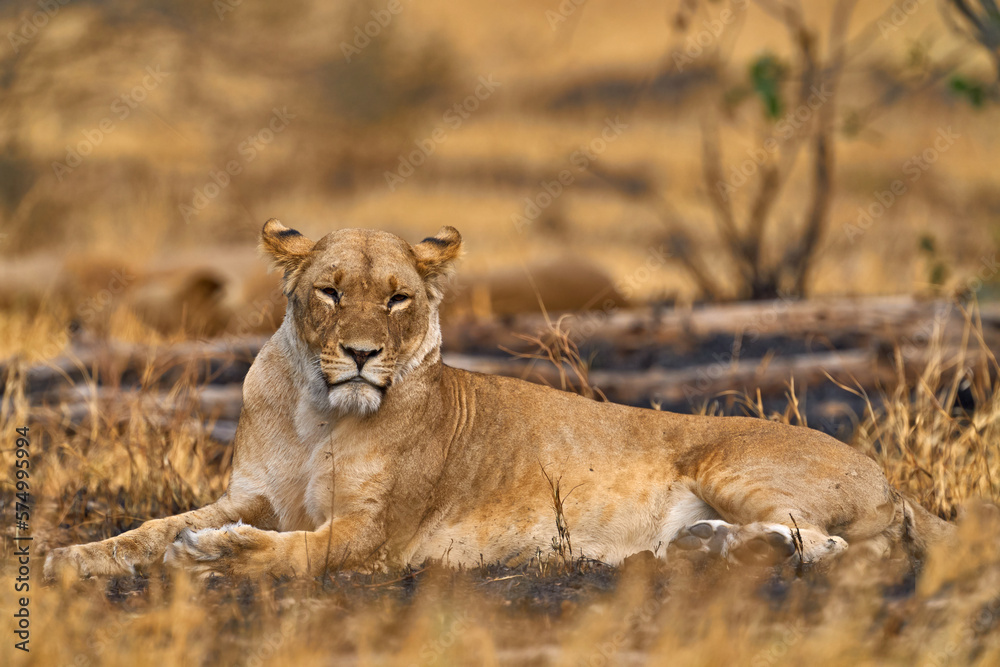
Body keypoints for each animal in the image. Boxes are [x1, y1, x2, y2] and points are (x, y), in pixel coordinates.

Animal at [44, 220, 953, 580]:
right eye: (331, 291)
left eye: (399, 298)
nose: (363, 355)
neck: (314, 412)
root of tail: (892, 478)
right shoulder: (253, 494)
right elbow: (150, 528)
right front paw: (70, 557)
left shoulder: (374, 536)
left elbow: (297, 550)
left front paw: (216, 555)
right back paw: (694, 546)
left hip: (732, 460)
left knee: (836, 546)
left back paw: (711, 548)